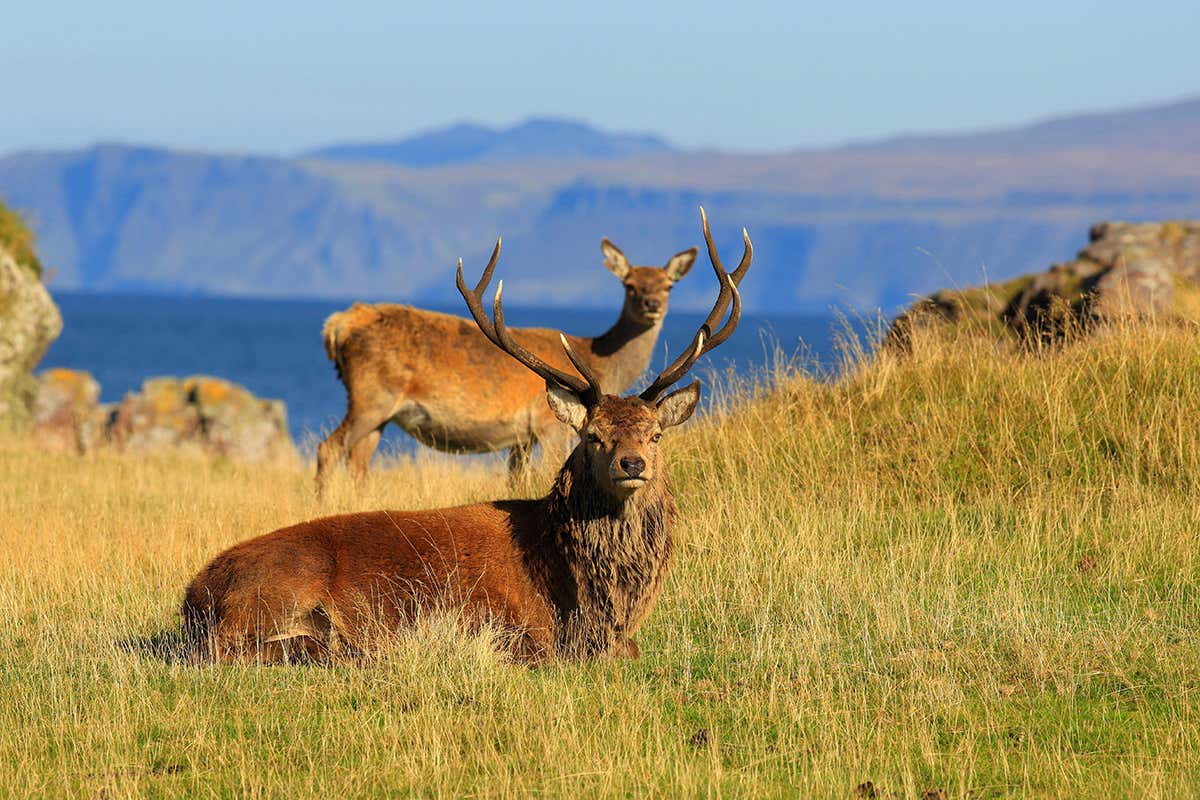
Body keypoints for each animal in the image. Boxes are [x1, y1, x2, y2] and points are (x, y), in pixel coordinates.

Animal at [314, 237, 700, 494]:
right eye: (630, 285)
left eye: (668, 285)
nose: (652, 304)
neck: (600, 359)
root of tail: (337, 325)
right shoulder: (547, 425)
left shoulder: (519, 439)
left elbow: (514, 482)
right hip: (371, 397)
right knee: (328, 449)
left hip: (382, 413)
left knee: (358, 462)